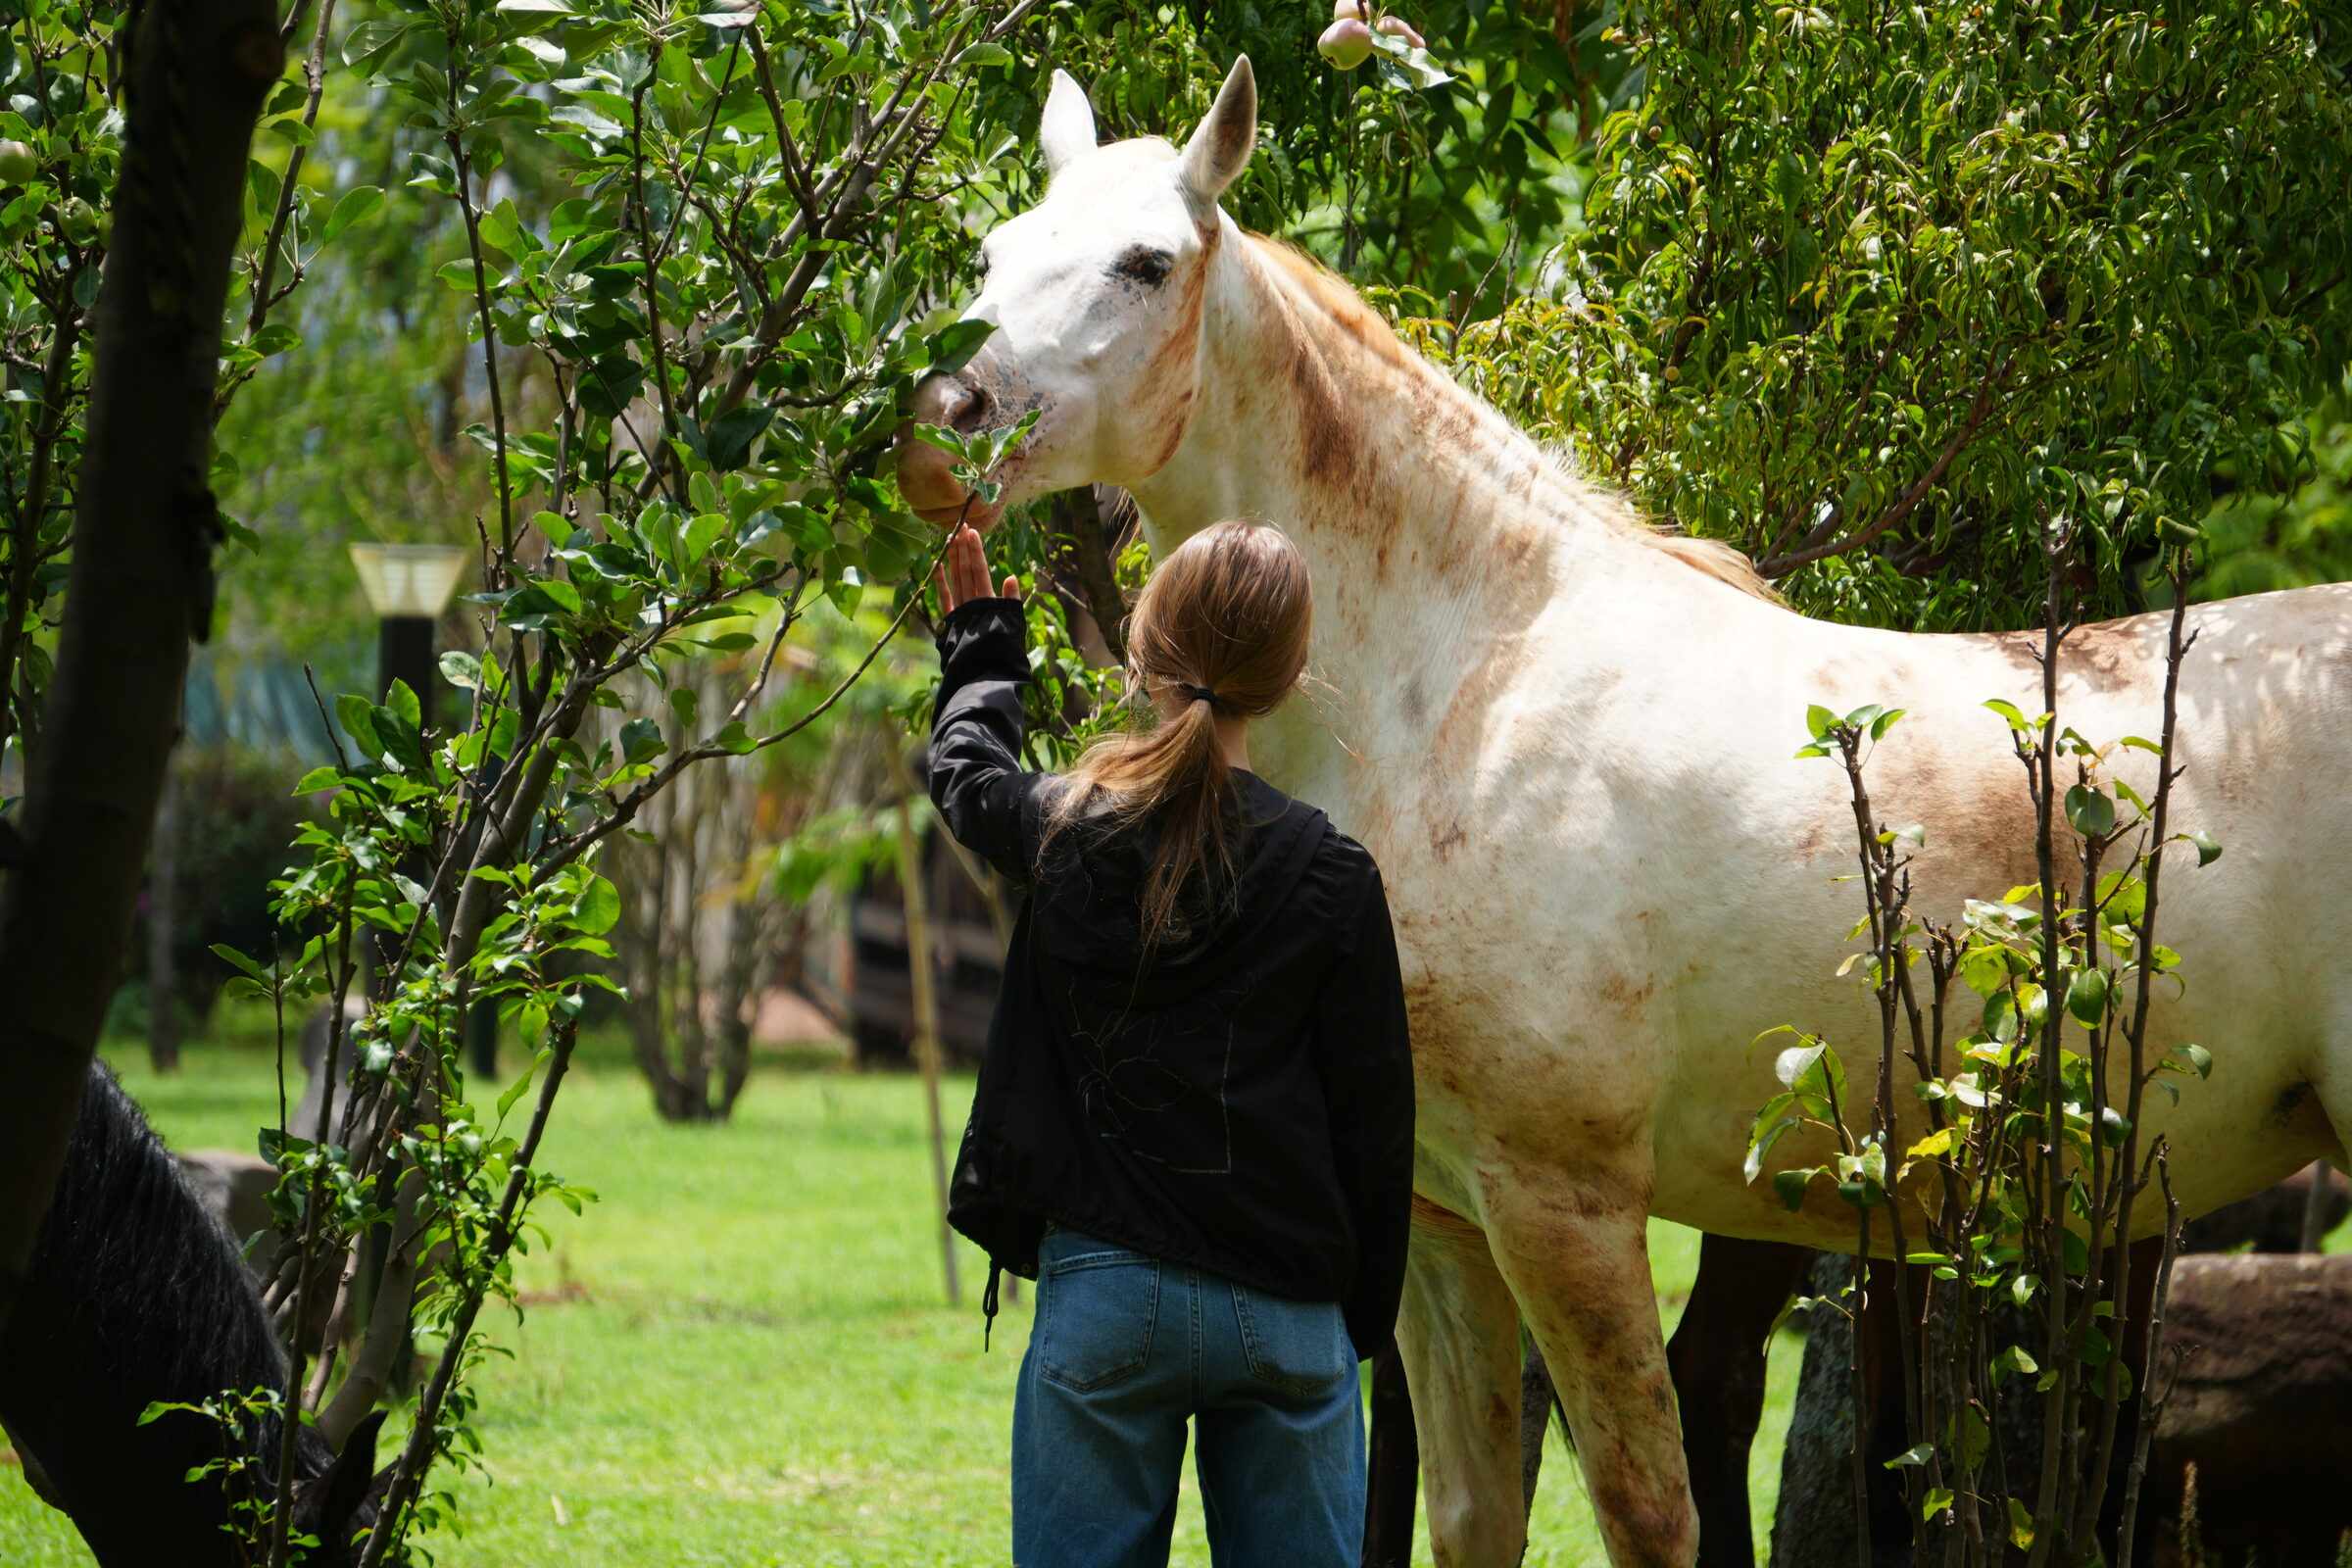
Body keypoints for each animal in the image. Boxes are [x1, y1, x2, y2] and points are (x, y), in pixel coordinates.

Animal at [896, 59, 2352, 1565]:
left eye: (1146, 263)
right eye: (995, 251)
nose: (943, 423)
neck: (1469, 684)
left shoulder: (1568, 1207)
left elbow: (1652, 1512)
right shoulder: (1442, 1221)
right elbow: (1474, 1509)